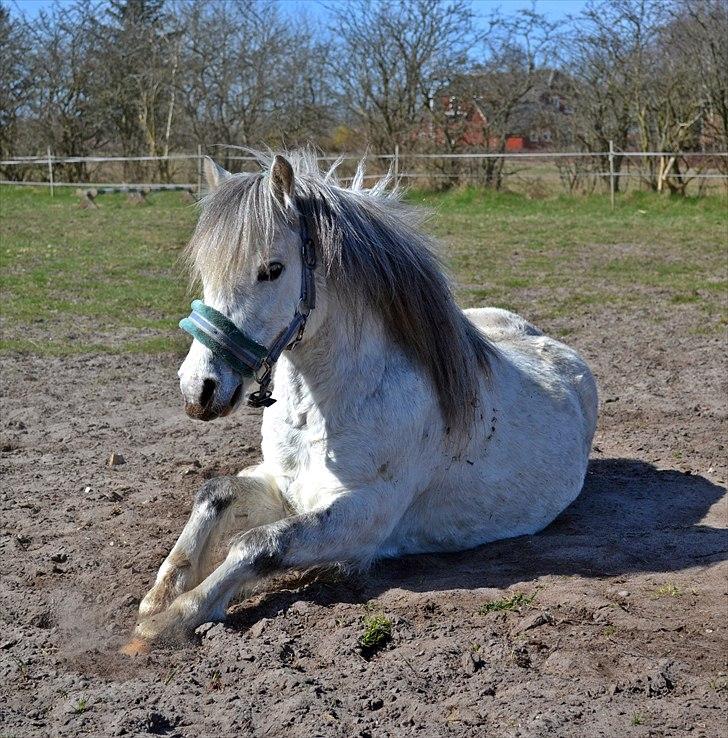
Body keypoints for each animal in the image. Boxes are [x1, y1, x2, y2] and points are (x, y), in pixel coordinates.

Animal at [122, 150, 596, 648]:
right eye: (207, 271)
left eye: (272, 269)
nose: (199, 388)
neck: (323, 414)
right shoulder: (282, 485)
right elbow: (213, 492)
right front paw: (160, 594)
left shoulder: (362, 517)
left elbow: (260, 543)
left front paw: (173, 618)